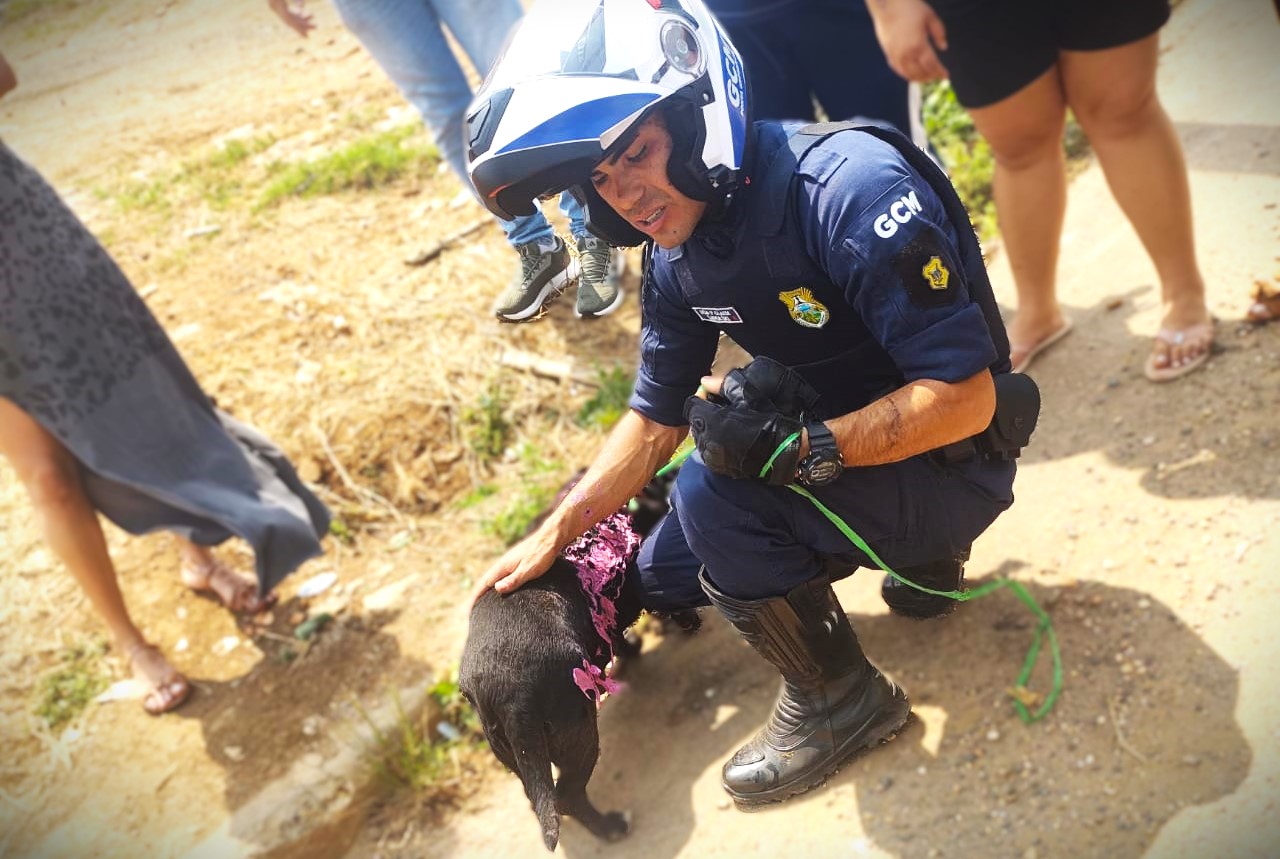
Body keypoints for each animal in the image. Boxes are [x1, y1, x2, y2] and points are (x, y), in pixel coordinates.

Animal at [460, 481, 680, 850]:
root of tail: (513, 696)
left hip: (511, 751)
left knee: (540, 798)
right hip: (580, 736)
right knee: (568, 795)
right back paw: (610, 826)